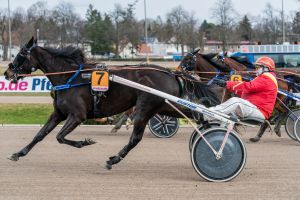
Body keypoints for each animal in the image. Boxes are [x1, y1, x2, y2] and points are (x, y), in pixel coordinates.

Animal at [2, 37, 218, 169]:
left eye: (20, 54)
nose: (7, 72)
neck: (70, 77)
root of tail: (171, 73)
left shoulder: (77, 115)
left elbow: (60, 137)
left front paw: (85, 142)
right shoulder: (59, 113)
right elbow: (40, 134)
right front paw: (18, 153)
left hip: (145, 107)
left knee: (135, 138)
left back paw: (113, 159)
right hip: (164, 105)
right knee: (193, 113)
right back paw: (207, 125)